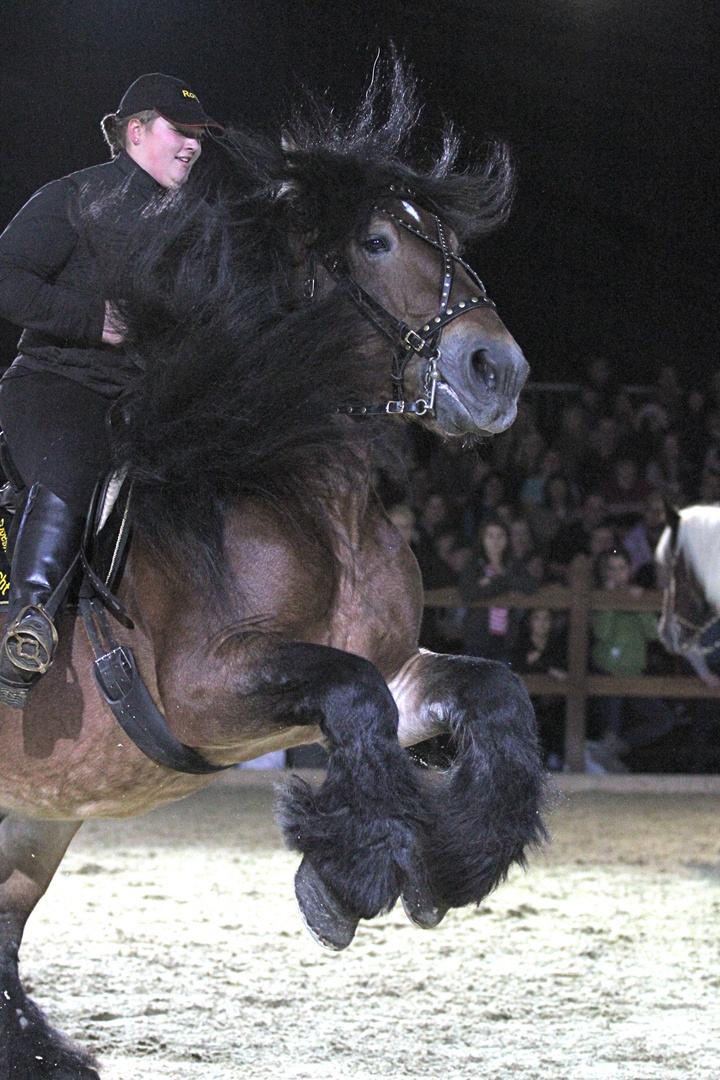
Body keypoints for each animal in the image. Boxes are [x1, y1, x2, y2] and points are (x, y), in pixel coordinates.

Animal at [0, 69, 544, 1080]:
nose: (498, 370)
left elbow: (493, 698)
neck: (297, 487)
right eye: (375, 242)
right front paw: (348, 877)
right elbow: (355, 700)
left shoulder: (394, 667)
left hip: (34, 817)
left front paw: (450, 866)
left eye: (450, 243)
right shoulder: (203, 692)